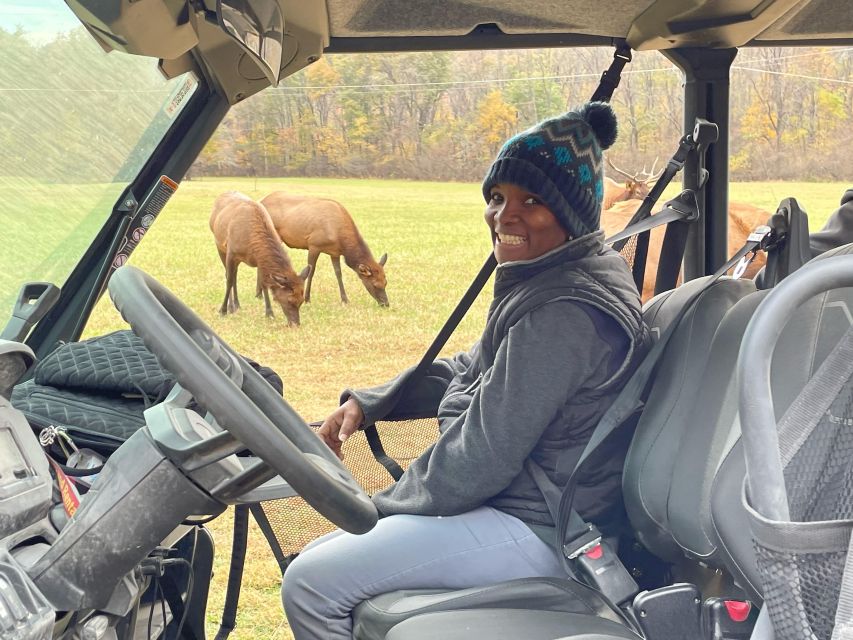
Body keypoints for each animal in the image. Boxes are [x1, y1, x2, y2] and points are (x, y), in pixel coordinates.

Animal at [209, 191, 310, 328]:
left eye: (302, 300)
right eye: (290, 300)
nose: (295, 324)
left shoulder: (259, 261)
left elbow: (264, 284)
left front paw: (269, 313)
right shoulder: (231, 252)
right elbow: (228, 281)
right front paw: (222, 310)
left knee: (235, 276)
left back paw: (237, 305)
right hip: (219, 246)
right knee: (229, 276)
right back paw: (231, 307)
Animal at [258, 191, 388, 306]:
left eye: (386, 282)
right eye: (375, 284)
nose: (385, 303)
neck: (340, 239)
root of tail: (261, 201)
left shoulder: (335, 252)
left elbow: (338, 273)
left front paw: (345, 299)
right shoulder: (314, 245)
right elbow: (311, 272)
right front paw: (307, 299)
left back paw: (259, 294)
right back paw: (260, 294)